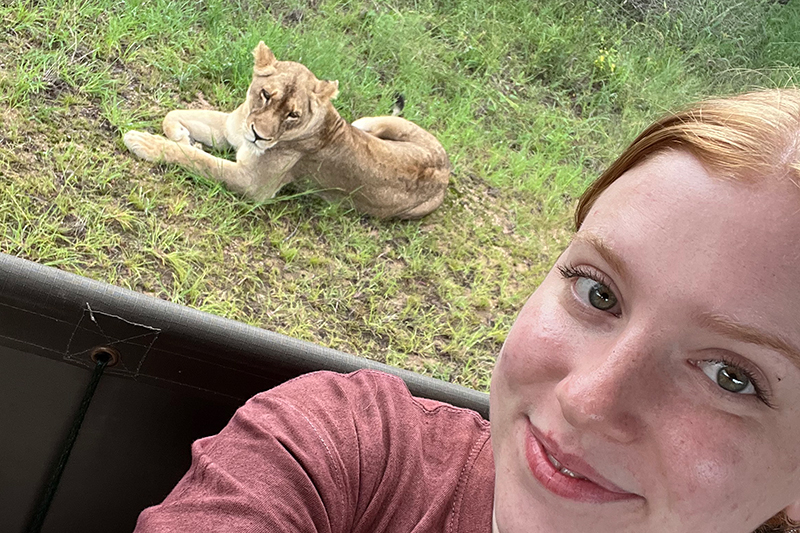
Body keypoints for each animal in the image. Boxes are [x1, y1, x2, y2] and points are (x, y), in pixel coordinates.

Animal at [123, 42, 451, 219]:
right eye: (266, 94)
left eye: (293, 114)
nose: (259, 136)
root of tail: (445, 170)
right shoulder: (231, 127)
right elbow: (173, 116)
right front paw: (186, 139)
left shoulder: (252, 184)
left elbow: (198, 161)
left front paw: (144, 142)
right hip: (369, 123)